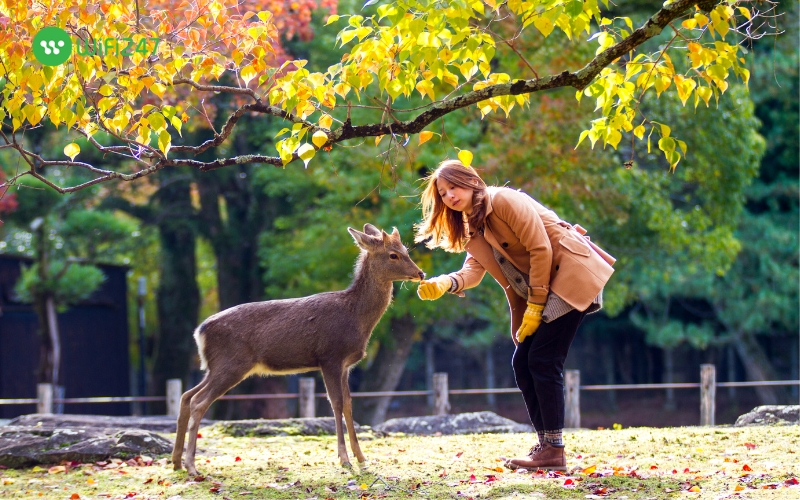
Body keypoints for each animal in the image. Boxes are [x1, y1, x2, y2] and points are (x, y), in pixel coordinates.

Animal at [171, 225, 424, 474]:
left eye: (406, 249)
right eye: (393, 255)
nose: (420, 273)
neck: (356, 318)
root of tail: (200, 331)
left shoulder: (346, 365)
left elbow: (349, 404)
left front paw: (362, 459)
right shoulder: (330, 356)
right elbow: (336, 403)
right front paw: (344, 460)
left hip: (215, 366)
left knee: (186, 396)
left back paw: (176, 462)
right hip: (232, 363)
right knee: (198, 402)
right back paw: (192, 466)